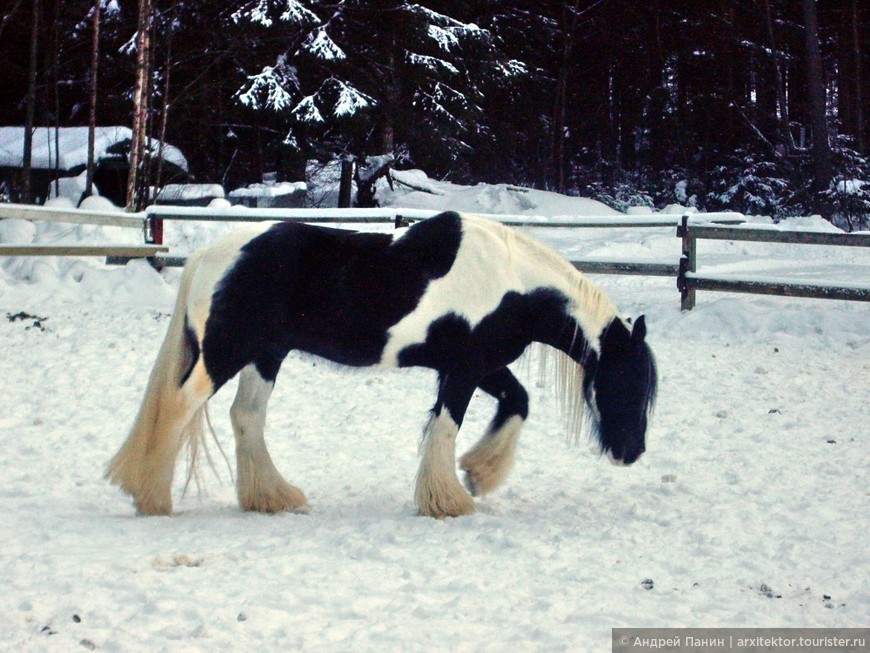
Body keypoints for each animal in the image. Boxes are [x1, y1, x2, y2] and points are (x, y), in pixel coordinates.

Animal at [105, 211, 656, 516]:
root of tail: (210, 256)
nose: (632, 453)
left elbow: (517, 403)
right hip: (225, 352)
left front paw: (479, 474)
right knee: (177, 410)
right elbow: (446, 427)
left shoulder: (477, 366)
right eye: (628, 382)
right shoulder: (464, 369)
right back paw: (151, 498)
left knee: (246, 418)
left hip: (265, 355)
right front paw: (449, 501)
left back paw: (272, 497)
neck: (513, 281)